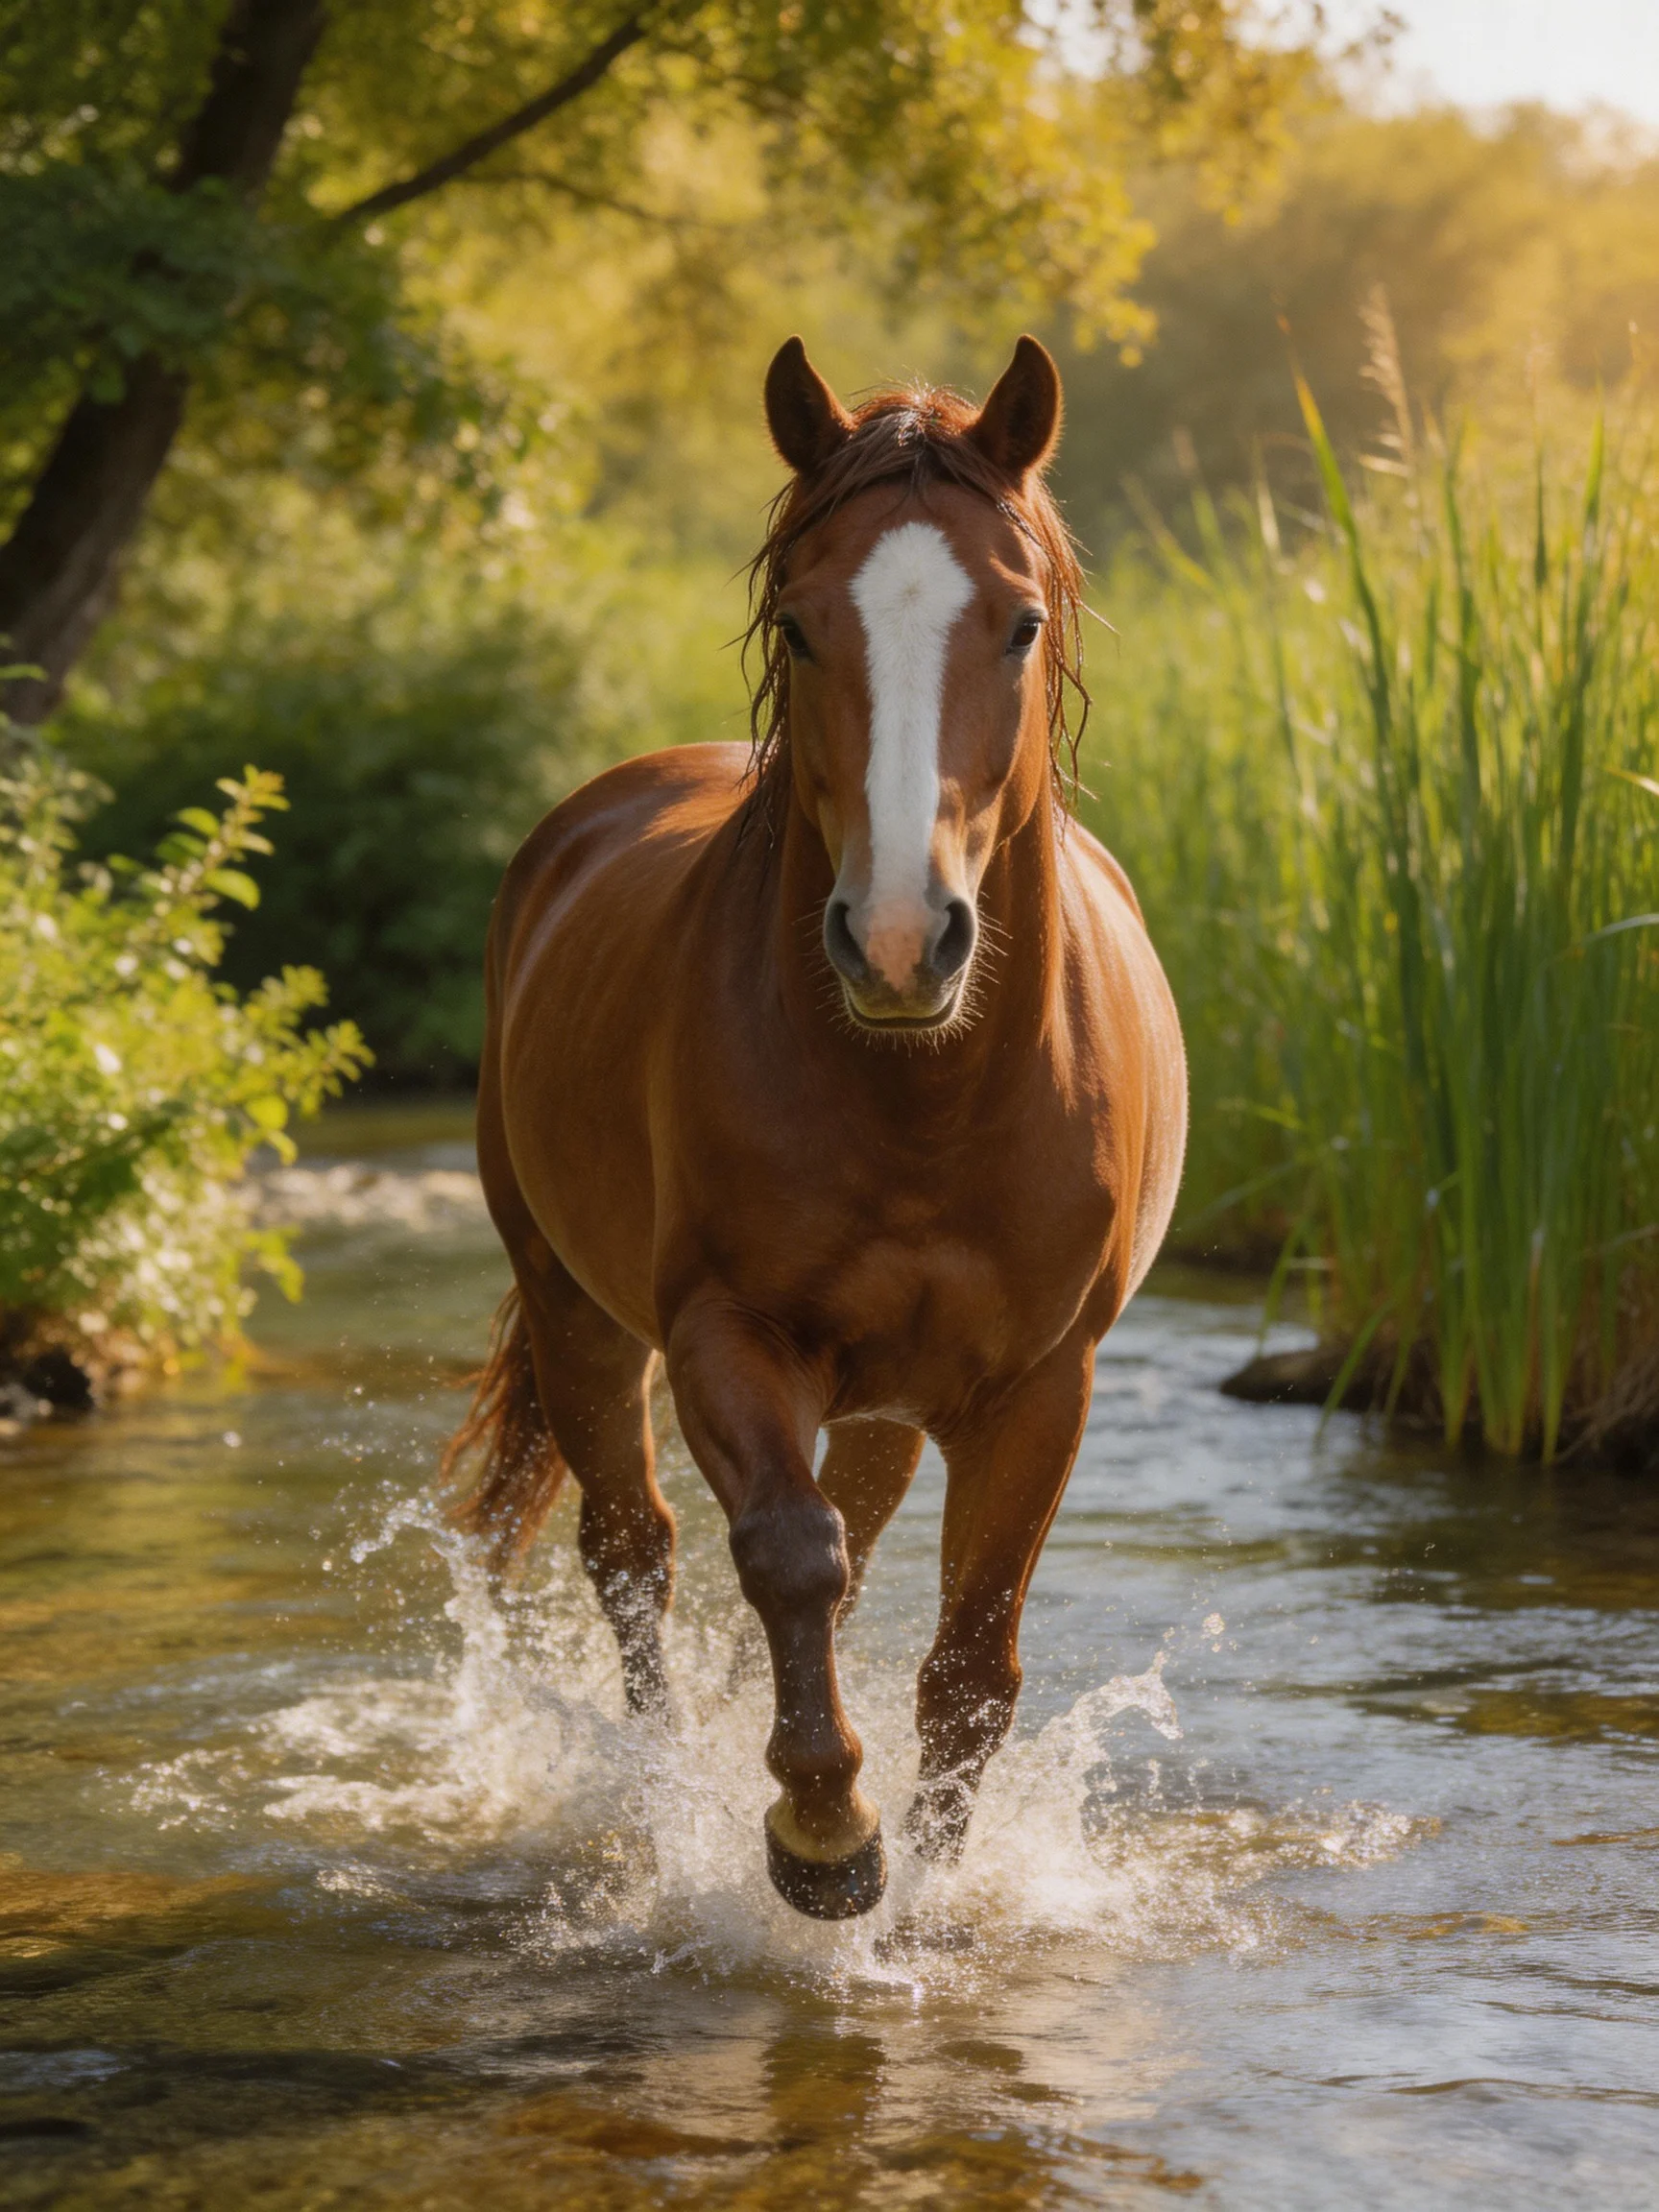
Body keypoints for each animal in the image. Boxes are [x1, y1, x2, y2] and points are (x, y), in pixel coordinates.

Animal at [444, 334, 1187, 1920]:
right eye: (798, 622)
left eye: (1021, 623)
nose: (902, 941)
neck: (924, 1099)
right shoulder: (728, 1332)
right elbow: (788, 1556)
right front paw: (825, 1835)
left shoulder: (1041, 1386)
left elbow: (969, 1668)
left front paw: (933, 1897)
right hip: (576, 1311)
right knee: (639, 1554)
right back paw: (673, 1789)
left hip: (890, 1405)